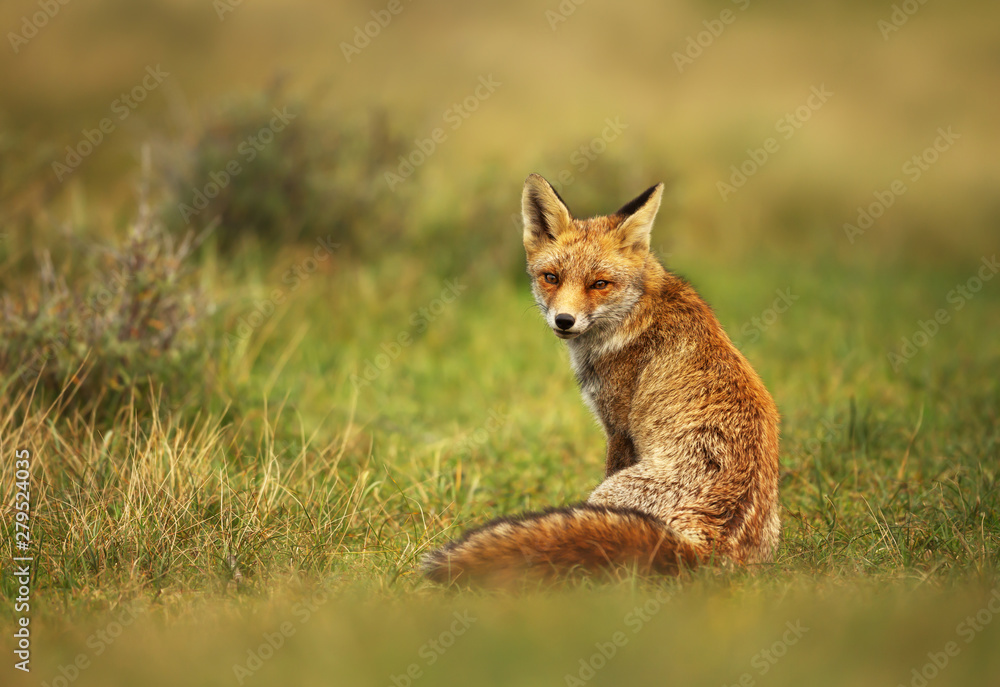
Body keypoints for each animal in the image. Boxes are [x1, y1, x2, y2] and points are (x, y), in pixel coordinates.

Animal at [421, 173, 781, 585]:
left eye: (599, 284)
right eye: (551, 278)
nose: (564, 320)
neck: (636, 312)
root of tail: (706, 548)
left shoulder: (618, 428)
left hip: (608, 494)